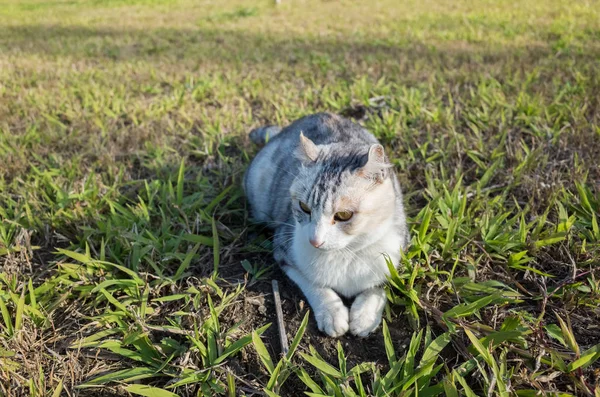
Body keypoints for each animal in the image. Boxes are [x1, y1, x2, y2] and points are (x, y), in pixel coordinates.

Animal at [244, 112, 408, 338]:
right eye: (304, 207)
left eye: (344, 215)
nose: (315, 240)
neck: (346, 255)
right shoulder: (283, 248)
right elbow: (312, 282)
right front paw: (332, 312)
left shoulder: (396, 247)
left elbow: (381, 284)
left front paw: (365, 315)